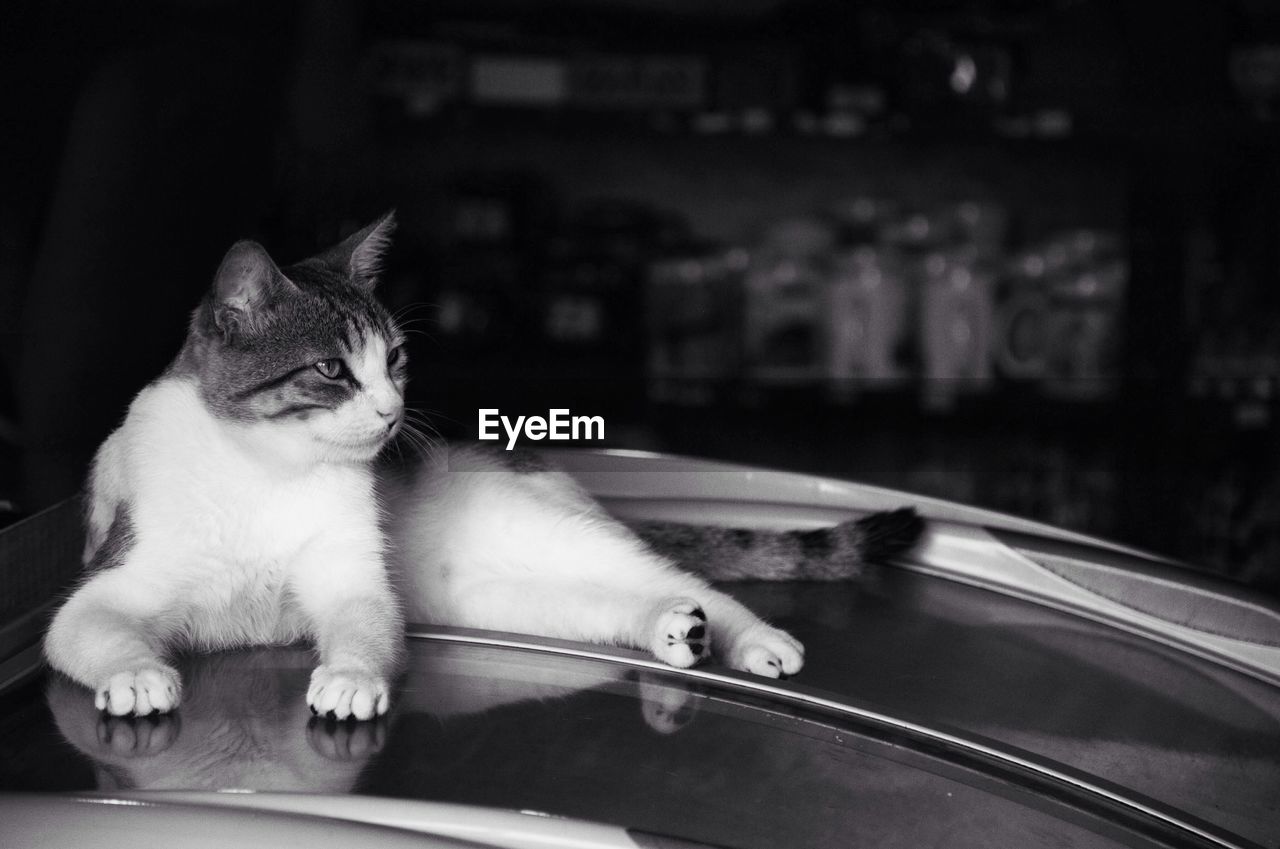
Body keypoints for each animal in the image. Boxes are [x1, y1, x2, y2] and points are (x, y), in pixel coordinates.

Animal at [40, 213, 921, 722]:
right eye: (330, 370)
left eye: (394, 360)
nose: (392, 412)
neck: (265, 472)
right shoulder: (113, 580)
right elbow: (87, 629)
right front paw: (138, 674)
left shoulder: (351, 579)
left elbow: (360, 626)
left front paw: (350, 679)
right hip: (512, 597)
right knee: (612, 604)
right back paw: (670, 628)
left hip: (559, 534)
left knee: (682, 576)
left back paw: (751, 635)